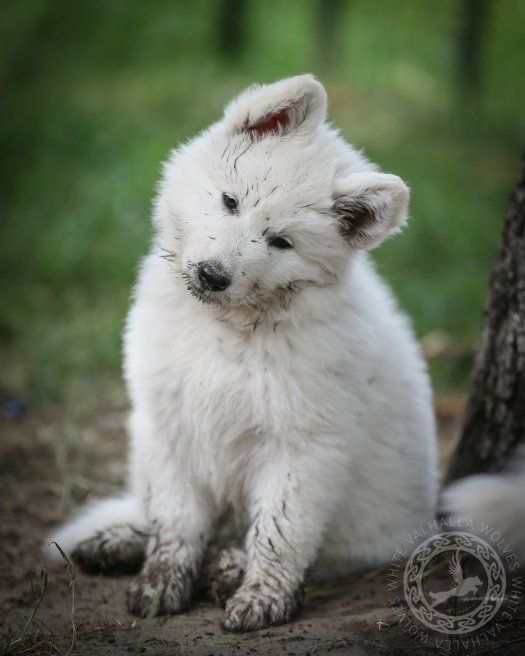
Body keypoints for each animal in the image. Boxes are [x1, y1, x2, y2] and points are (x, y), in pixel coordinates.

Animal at [47, 75, 436, 632]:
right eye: (230, 201)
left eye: (281, 242)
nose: (213, 275)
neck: (228, 328)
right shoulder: (169, 425)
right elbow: (175, 520)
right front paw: (162, 583)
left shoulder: (303, 448)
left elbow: (279, 532)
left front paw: (261, 597)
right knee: (155, 511)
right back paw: (119, 542)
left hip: (367, 528)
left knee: (314, 553)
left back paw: (228, 566)